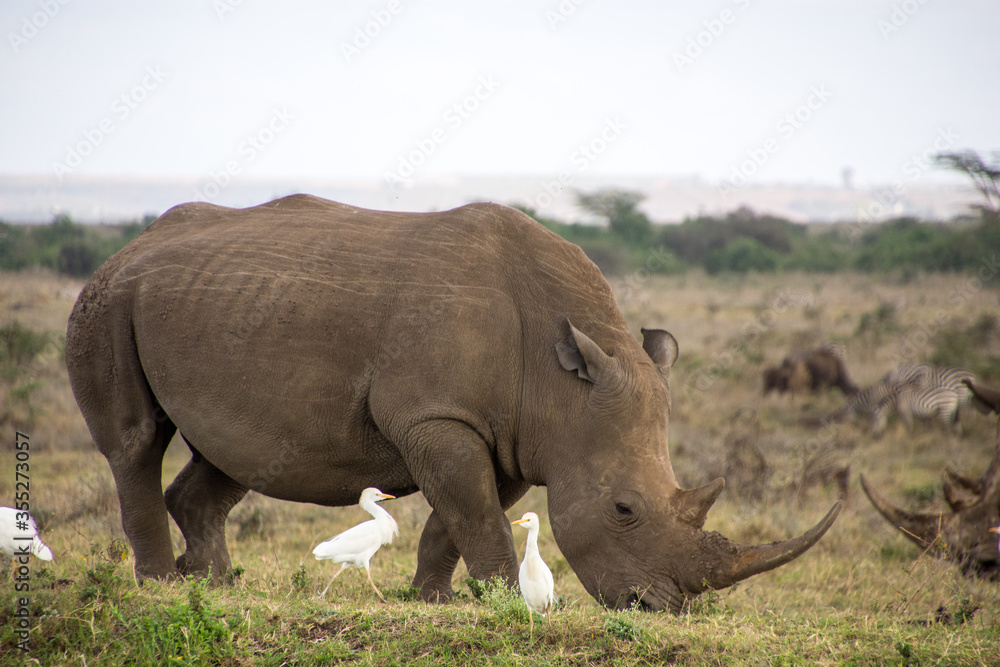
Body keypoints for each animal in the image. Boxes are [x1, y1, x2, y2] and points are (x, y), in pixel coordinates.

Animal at [66, 195, 840, 612]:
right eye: (624, 509)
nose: (658, 609)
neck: (563, 385)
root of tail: (129, 246)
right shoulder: (438, 415)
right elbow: (475, 513)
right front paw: (501, 597)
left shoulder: (512, 433)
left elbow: (459, 514)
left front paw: (434, 597)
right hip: (108, 300)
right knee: (136, 440)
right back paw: (161, 587)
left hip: (210, 304)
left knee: (235, 454)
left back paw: (216, 583)